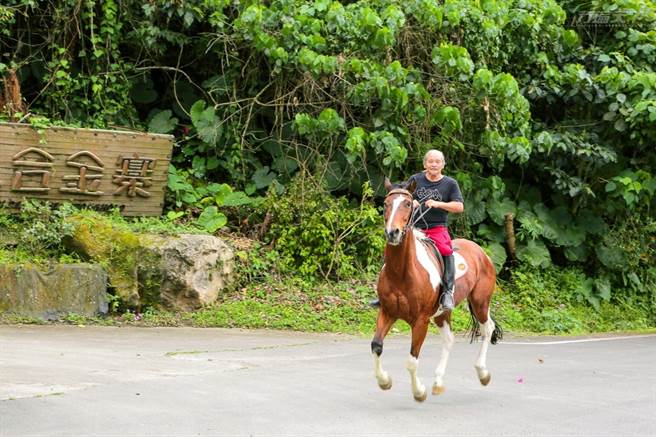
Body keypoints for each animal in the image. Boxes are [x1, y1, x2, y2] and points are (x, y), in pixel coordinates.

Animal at [371, 178, 502, 402]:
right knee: (449, 340)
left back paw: (483, 373)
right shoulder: (387, 312)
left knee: (487, 328)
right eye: (386, 204)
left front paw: (419, 392)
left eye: (407, 204)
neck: (402, 272)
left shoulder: (421, 321)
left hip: (480, 302)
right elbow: (376, 346)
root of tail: (481, 252)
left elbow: (412, 360)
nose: (392, 233)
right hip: (442, 313)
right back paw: (438, 382)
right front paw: (384, 381)